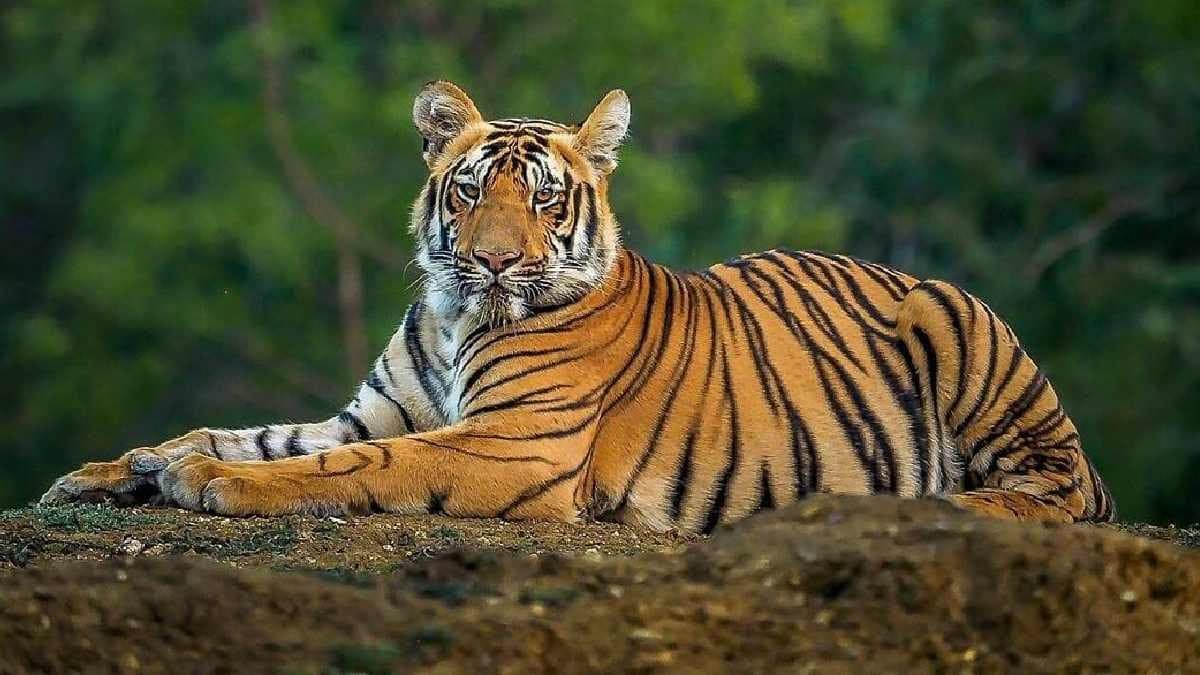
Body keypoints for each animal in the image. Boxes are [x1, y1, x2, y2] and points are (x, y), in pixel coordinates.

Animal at [40, 81, 1114, 531]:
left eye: (546, 199)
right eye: (472, 190)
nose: (492, 261)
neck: (453, 314)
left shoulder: (513, 443)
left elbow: (346, 465)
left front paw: (208, 484)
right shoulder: (372, 409)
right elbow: (244, 431)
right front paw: (118, 469)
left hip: (959, 324)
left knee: (1056, 493)